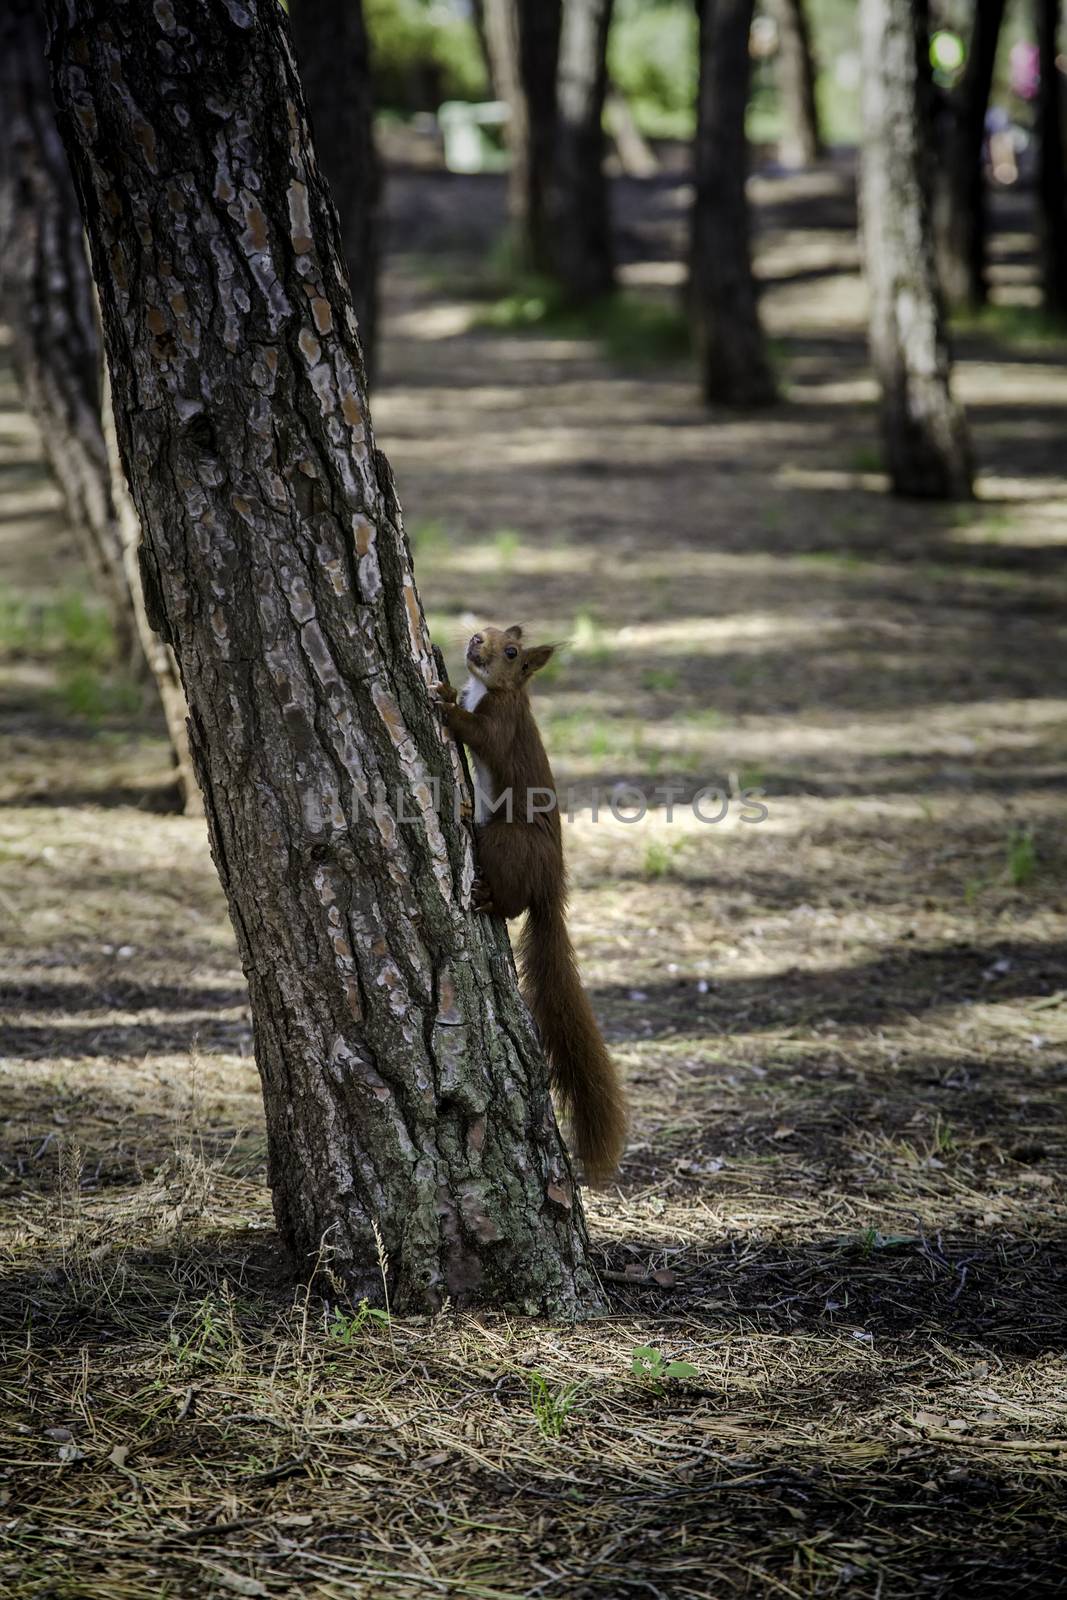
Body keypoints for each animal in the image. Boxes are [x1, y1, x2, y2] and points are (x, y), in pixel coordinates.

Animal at [431, 624, 627, 1190]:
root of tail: (549, 886)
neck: (491, 689)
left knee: (512, 904)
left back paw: (486, 895)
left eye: (512, 650)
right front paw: (447, 689)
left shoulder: (502, 724)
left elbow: (481, 735)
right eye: (488, 631)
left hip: (508, 841)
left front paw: (444, 706)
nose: (475, 640)